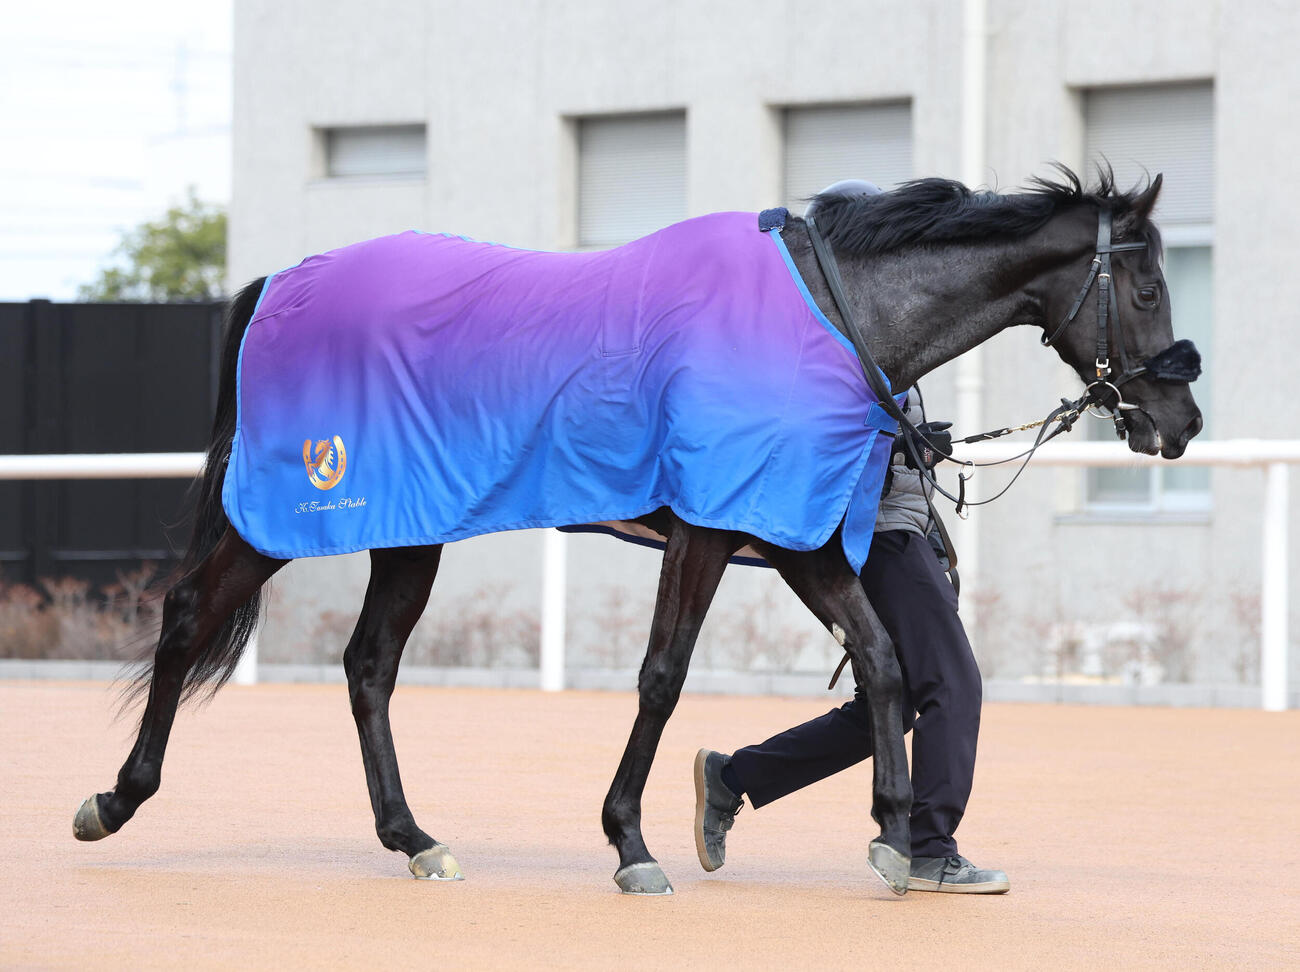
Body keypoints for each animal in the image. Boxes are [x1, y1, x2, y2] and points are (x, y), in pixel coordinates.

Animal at [72, 166, 1202, 897]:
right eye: (1149, 284)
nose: (1179, 422)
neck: (828, 314)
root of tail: (280, 280)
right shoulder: (709, 526)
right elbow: (662, 676)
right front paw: (630, 844)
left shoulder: (788, 533)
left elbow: (882, 660)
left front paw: (892, 835)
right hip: (290, 512)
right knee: (188, 617)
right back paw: (115, 800)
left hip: (410, 527)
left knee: (368, 666)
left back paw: (415, 839)